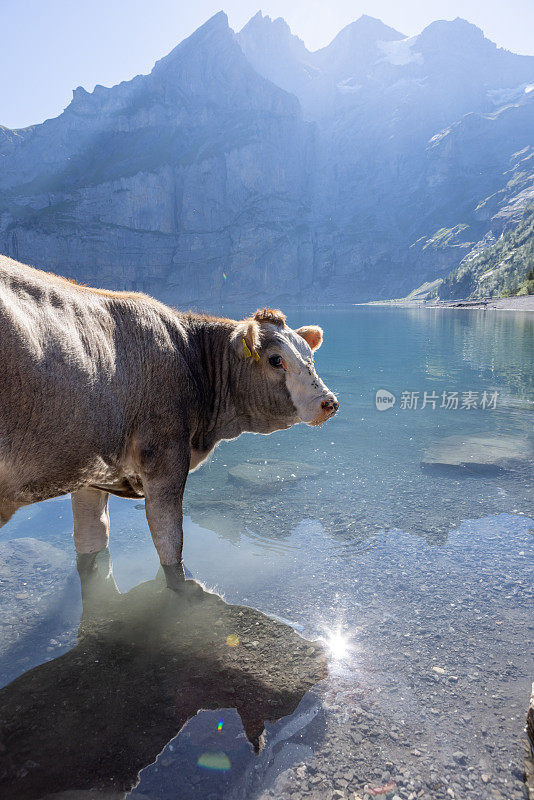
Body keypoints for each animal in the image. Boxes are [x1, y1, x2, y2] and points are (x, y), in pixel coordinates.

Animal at [0, 258, 340, 592]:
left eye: (310, 356)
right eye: (275, 359)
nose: (329, 402)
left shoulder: (89, 476)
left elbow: (92, 545)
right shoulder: (165, 460)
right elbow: (170, 548)